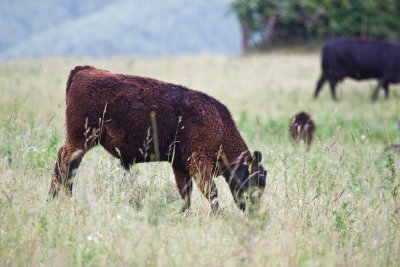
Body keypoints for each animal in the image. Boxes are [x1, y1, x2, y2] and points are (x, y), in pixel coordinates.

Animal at [50, 66, 268, 214]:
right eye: (255, 179)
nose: (254, 211)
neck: (219, 125)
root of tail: (83, 70)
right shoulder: (198, 164)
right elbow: (210, 192)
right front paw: (218, 216)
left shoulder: (181, 165)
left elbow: (186, 195)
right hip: (81, 140)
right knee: (66, 162)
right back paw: (64, 199)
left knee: (64, 161)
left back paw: (53, 199)